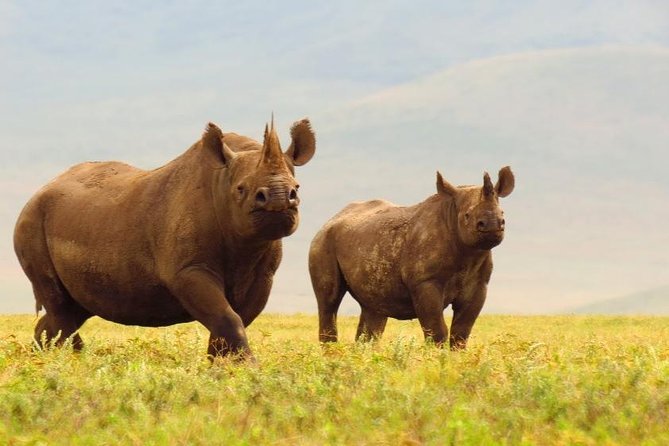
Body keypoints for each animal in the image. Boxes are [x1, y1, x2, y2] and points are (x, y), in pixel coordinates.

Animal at [14, 117, 316, 359]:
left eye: (297, 188)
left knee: (73, 309)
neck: (221, 182)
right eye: (241, 189)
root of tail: (40, 190)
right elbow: (227, 317)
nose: (278, 199)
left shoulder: (263, 275)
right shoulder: (187, 271)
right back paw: (69, 361)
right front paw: (244, 367)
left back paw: (44, 359)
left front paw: (220, 365)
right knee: (60, 307)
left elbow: (232, 319)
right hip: (31, 221)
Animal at [309, 167, 515, 349]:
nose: (493, 225)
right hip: (323, 242)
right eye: (467, 215)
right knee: (329, 302)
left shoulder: (479, 285)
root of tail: (331, 218)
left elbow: (461, 332)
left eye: (503, 214)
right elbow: (436, 329)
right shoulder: (425, 281)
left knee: (373, 309)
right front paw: (437, 359)